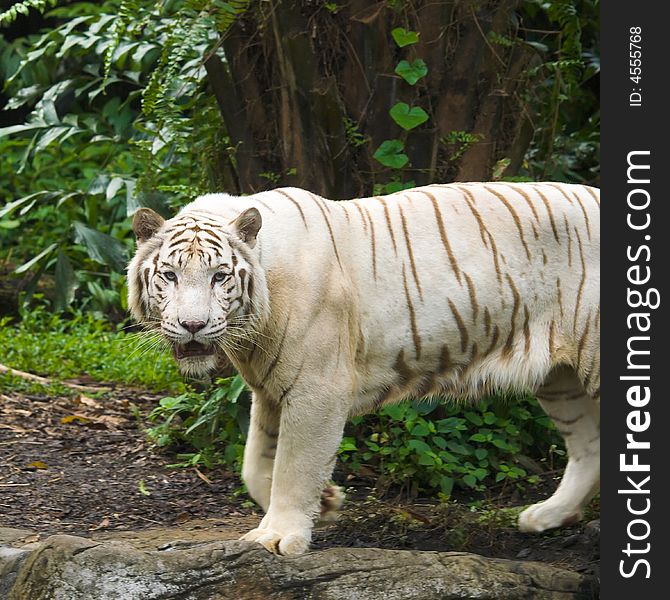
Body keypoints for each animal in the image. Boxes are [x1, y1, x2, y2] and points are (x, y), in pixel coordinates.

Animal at [129, 180, 600, 556]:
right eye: (169, 276)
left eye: (219, 276)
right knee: (588, 446)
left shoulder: (315, 388)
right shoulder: (271, 389)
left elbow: (293, 467)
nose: (193, 326)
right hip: (559, 380)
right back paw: (549, 515)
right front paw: (326, 504)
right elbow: (257, 466)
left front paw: (278, 538)